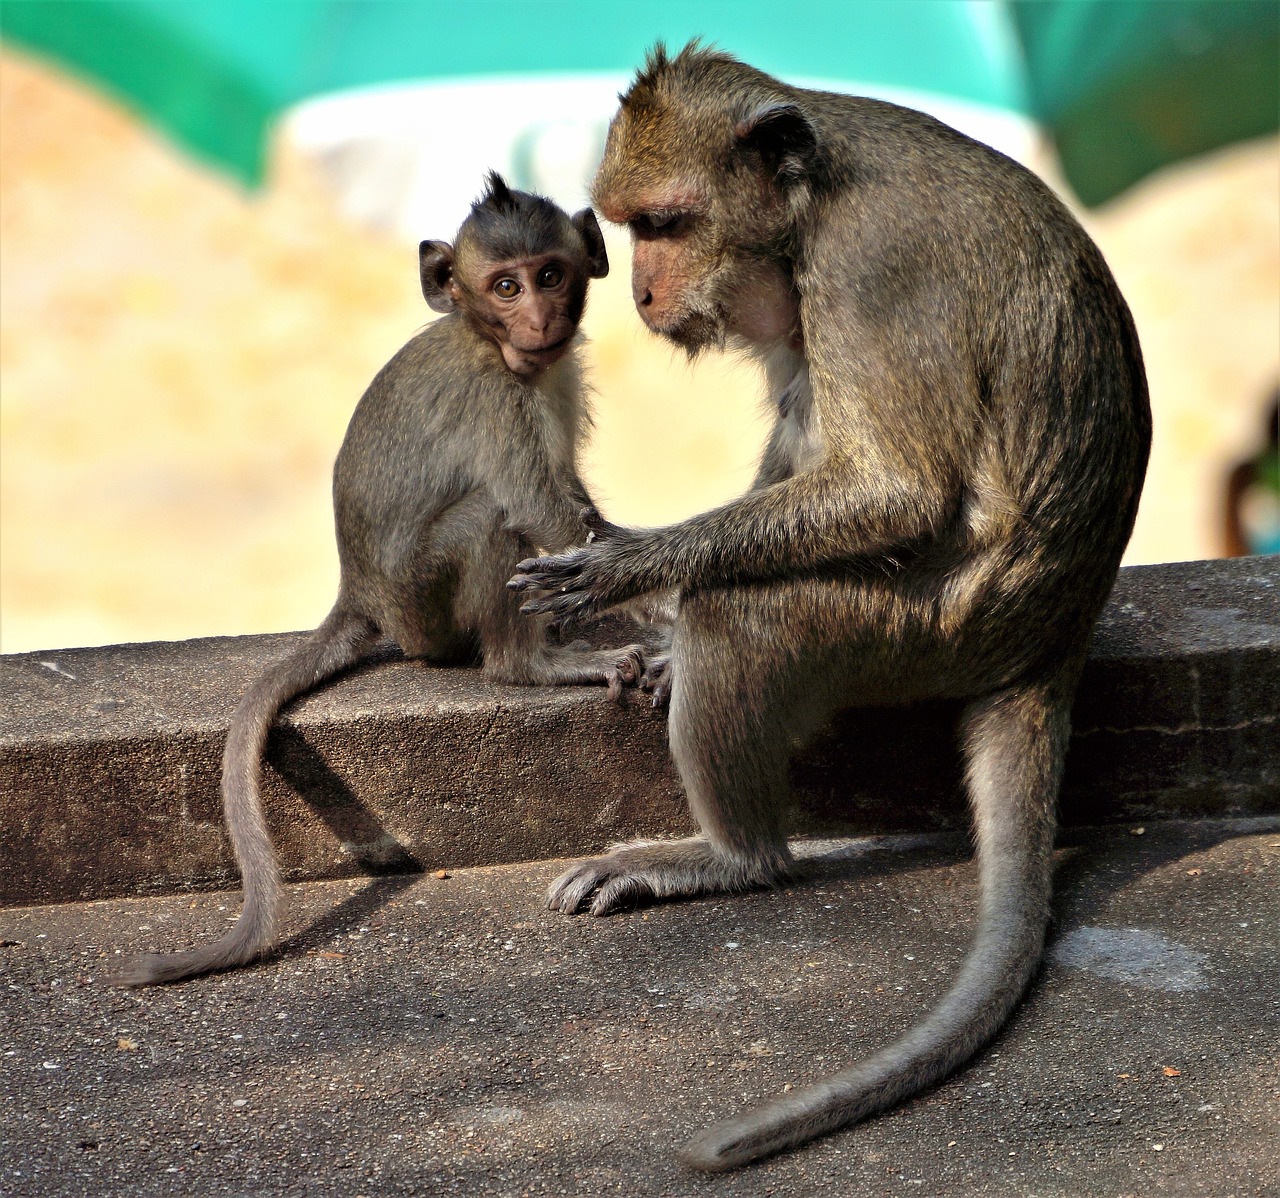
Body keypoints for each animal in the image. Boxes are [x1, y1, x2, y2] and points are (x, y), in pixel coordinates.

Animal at [107, 174, 646, 988]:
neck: (492, 344)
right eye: (506, 286)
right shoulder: (494, 397)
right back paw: (531, 666)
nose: (539, 318)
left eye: (551, 275)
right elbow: (537, 508)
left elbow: (574, 509)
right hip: (423, 603)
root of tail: (358, 591)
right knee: (487, 517)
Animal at [509, 45, 1151, 1170]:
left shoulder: (868, 271)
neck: (809, 206)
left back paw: (732, 859)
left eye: (664, 223)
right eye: (631, 227)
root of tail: (1056, 629)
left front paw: (630, 565)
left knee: (744, 618)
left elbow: (896, 487)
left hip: (919, 632)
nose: (640, 291)